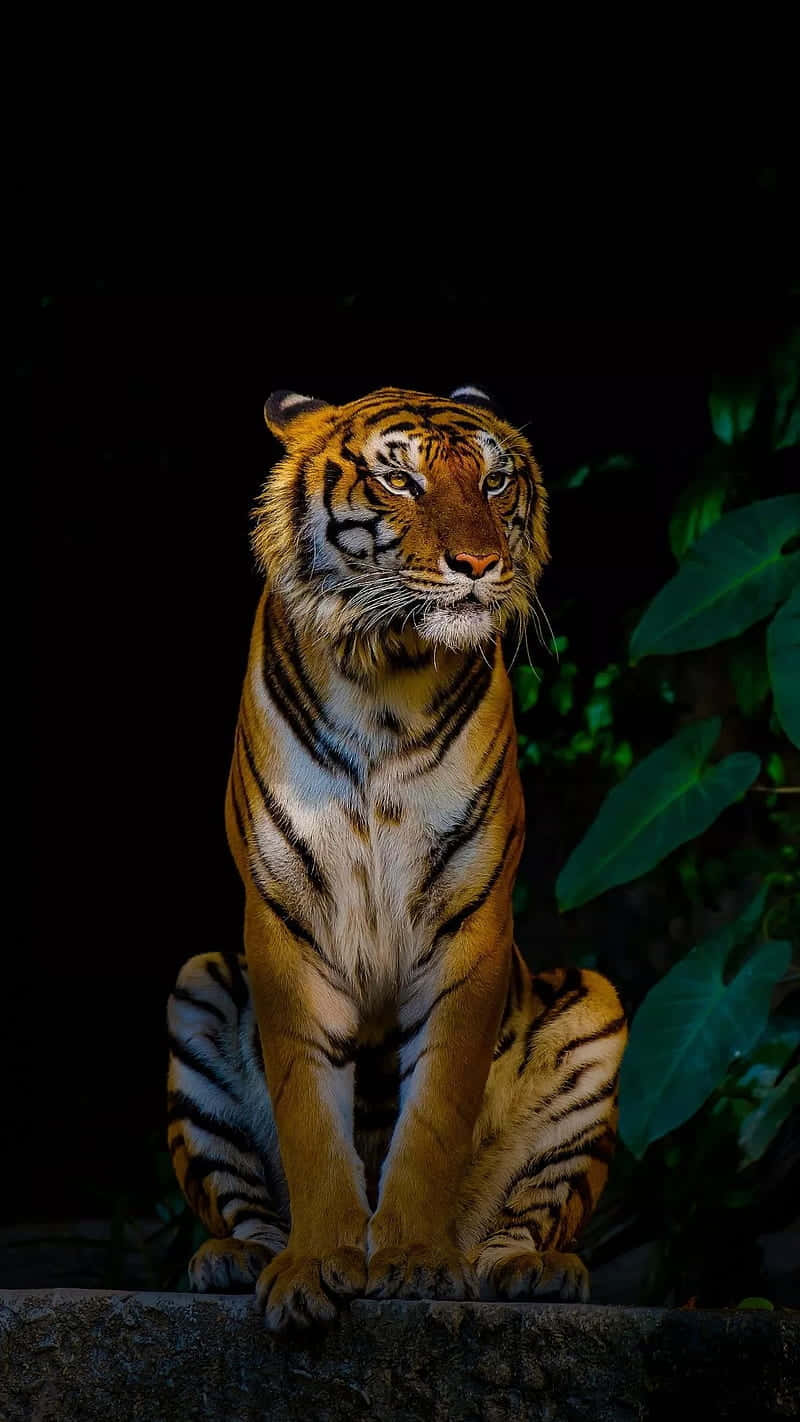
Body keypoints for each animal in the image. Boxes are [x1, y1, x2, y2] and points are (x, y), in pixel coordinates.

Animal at [167, 385, 627, 1332]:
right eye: (400, 479)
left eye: (494, 480)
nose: (480, 564)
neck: (386, 673)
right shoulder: (284, 922)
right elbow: (310, 1110)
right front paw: (314, 1269)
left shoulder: (469, 920)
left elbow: (436, 1111)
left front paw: (413, 1261)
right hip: (198, 987)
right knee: (242, 1204)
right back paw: (233, 1259)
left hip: (594, 1010)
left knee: (525, 1215)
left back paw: (530, 1269)